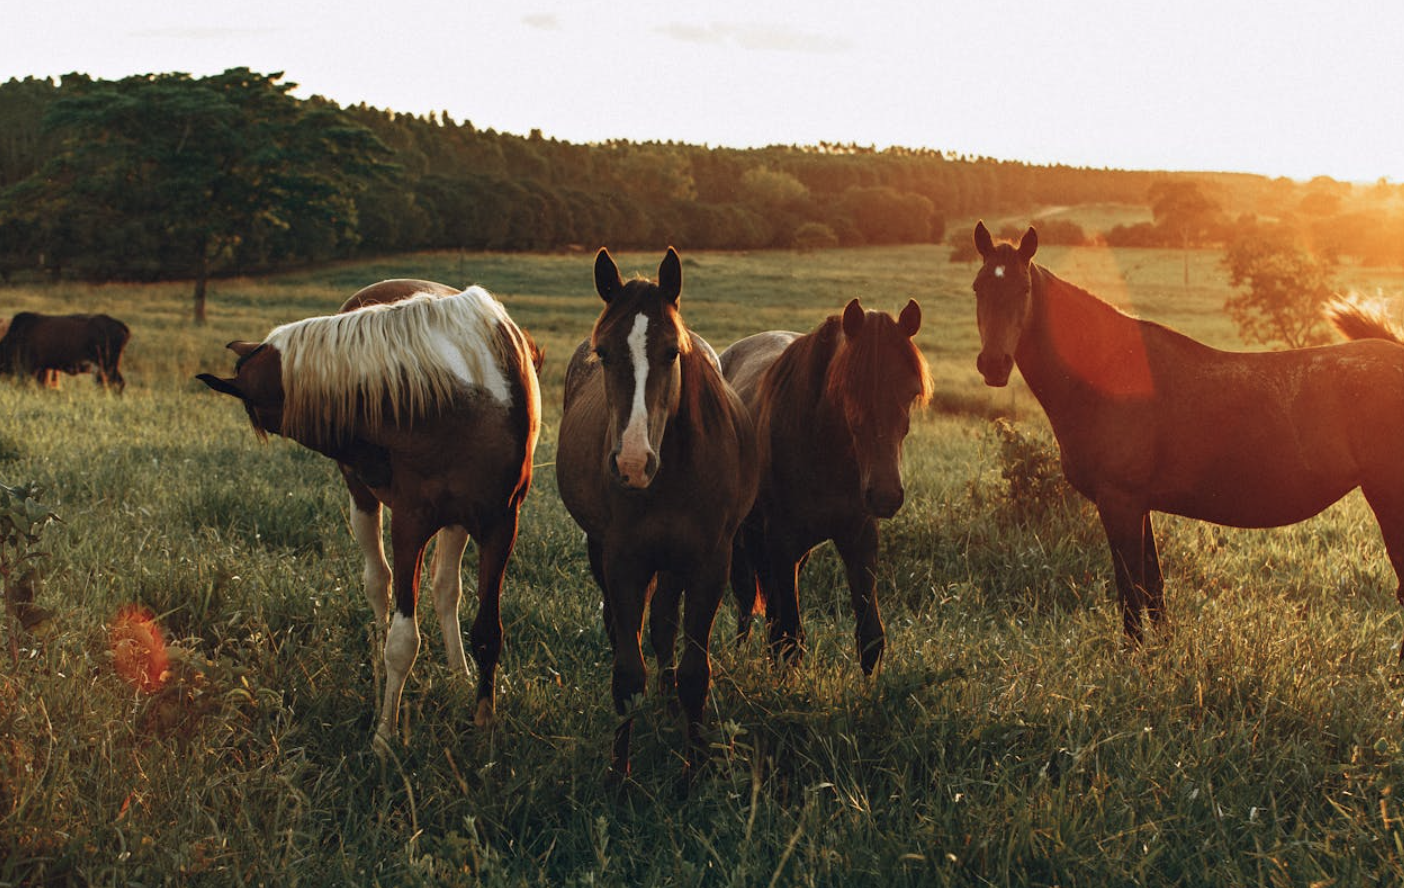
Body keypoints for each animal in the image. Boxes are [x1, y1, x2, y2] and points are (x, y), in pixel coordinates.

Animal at [197, 279, 541, 747]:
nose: (369, 463)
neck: (463, 395)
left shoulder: (500, 525)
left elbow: (488, 631)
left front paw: (483, 723)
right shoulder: (409, 524)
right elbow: (402, 640)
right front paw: (384, 734)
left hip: (456, 520)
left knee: (445, 589)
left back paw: (457, 674)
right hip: (365, 503)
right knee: (379, 583)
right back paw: (381, 670)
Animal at [555, 245, 763, 781]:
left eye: (672, 351)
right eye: (603, 352)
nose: (632, 463)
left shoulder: (710, 563)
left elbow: (694, 672)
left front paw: (694, 771)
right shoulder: (623, 561)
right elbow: (628, 675)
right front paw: (619, 775)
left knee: (666, 625)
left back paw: (670, 707)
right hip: (605, 551)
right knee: (630, 630)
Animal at [724, 297, 932, 671]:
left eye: (911, 392)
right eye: (849, 389)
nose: (885, 495)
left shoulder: (859, 536)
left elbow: (870, 638)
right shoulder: (781, 538)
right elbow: (790, 639)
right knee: (747, 600)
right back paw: (737, 654)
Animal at [971, 219, 1404, 640]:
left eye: (1024, 288)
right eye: (978, 287)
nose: (993, 364)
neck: (1110, 373)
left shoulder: (1119, 502)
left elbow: (1131, 593)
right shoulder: (1139, 504)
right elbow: (1153, 589)